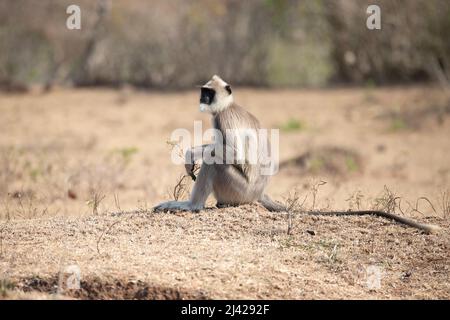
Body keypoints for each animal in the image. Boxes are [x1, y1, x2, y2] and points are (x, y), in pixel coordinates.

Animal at [154, 76, 440, 234]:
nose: (202, 98)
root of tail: (259, 193)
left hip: (237, 189)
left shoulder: (224, 117)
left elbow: (232, 153)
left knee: (216, 162)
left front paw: (192, 154)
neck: (229, 105)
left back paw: (192, 205)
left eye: (208, 92)